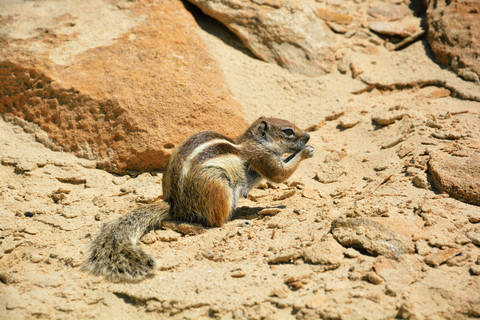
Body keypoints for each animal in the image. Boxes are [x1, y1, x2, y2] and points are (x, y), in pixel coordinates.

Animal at [82, 118, 316, 282]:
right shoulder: (262, 156)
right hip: (219, 187)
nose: (308, 137)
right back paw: (239, 221)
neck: (252, 142)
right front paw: (306, 152)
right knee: (217, 223)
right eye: (288, 131)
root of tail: (175, 205)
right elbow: (279, 173)